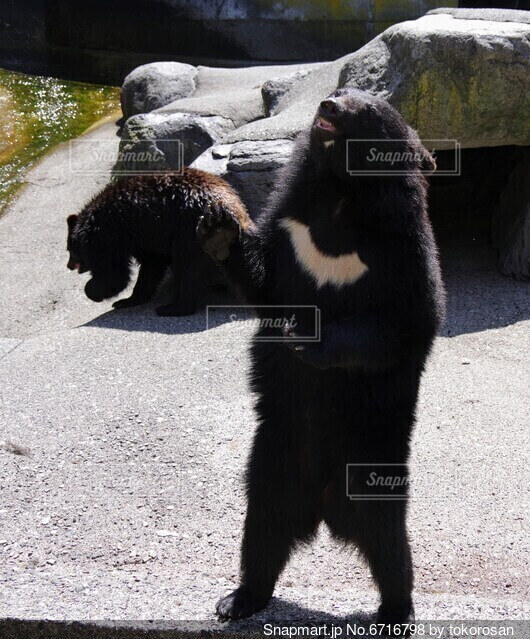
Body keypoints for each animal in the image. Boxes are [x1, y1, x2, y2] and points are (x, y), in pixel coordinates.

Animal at [67, 170, 251, 316]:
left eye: (69, 250)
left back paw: (172, 308)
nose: (69, 265)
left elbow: (113, 273)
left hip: (188, 231)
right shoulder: (147, 239)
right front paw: (128, 299)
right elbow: (151, 265)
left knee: (187, 269)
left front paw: (93, 290)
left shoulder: (112, 235)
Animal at [196, 89, 444, 624]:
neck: (340, 193)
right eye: (340, 93)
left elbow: (404, 322)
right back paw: (239, 598)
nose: (327, 105)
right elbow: (265, 282)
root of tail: (325, 504)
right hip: (273, 460)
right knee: (262, 529)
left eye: (362, 108)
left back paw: (395, 609)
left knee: (389, 543)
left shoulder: (401, 250)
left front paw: (305, 339)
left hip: (373, 464)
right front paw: (218, 225)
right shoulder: (292, 231)